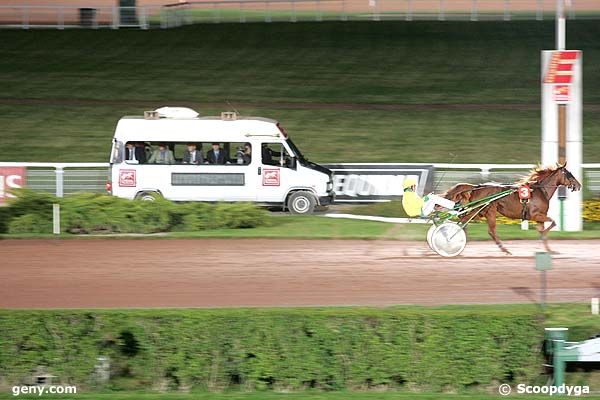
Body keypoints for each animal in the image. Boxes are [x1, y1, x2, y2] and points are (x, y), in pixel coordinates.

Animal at [442, 164, 580, 255]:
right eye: (569, 174)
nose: (579, 185)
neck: (540, 190)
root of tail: (477, 187)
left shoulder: (540, 218)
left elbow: (545, 230)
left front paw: (549, 249)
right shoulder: (536, 215)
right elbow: (553, 222)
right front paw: (543, 235)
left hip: (480, 212)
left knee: (465, 221)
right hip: (486, 211)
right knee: (485, 228)